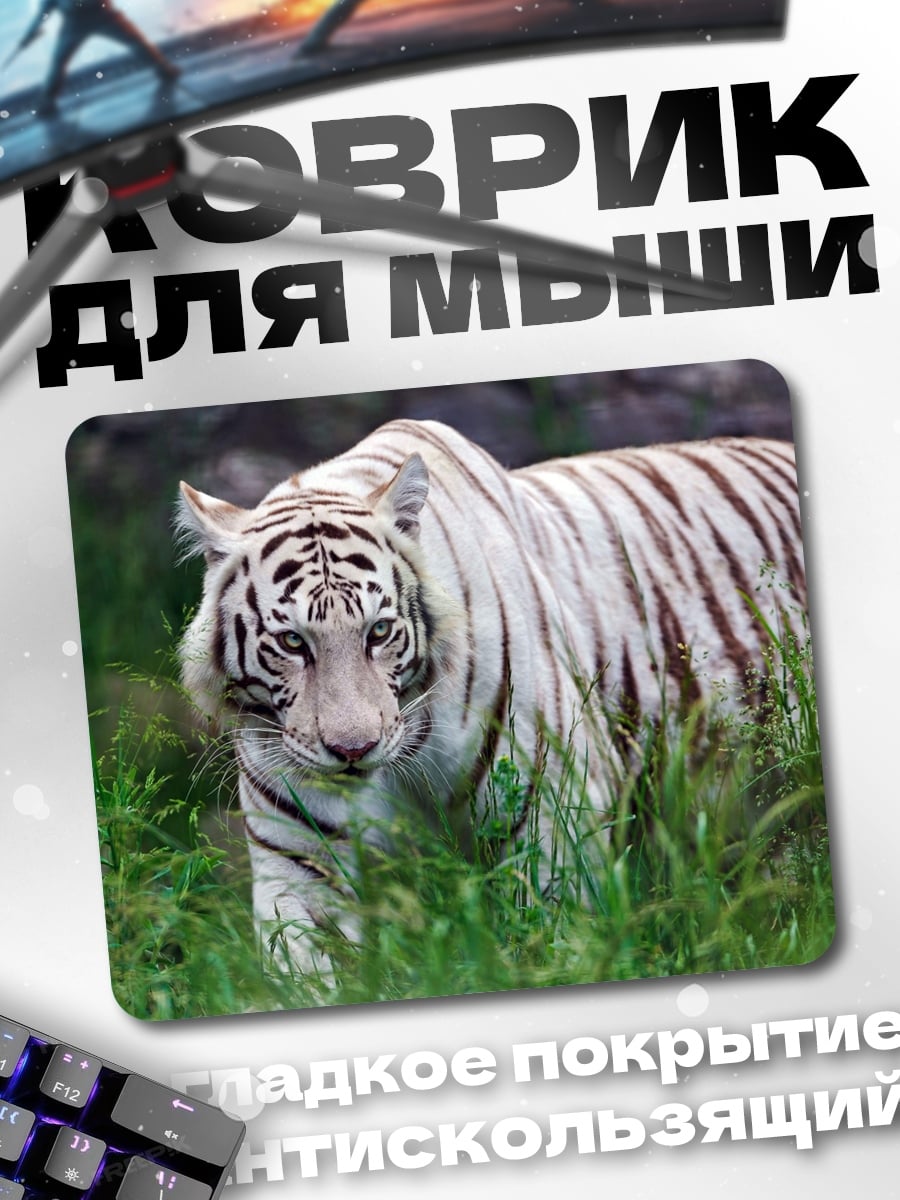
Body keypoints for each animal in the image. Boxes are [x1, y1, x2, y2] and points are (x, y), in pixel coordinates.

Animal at [176, 417, 806, 972]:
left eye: (378, 632)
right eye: (292, 641)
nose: (354, 750)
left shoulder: (552, 816)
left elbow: (554, 939)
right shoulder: (300, 860)